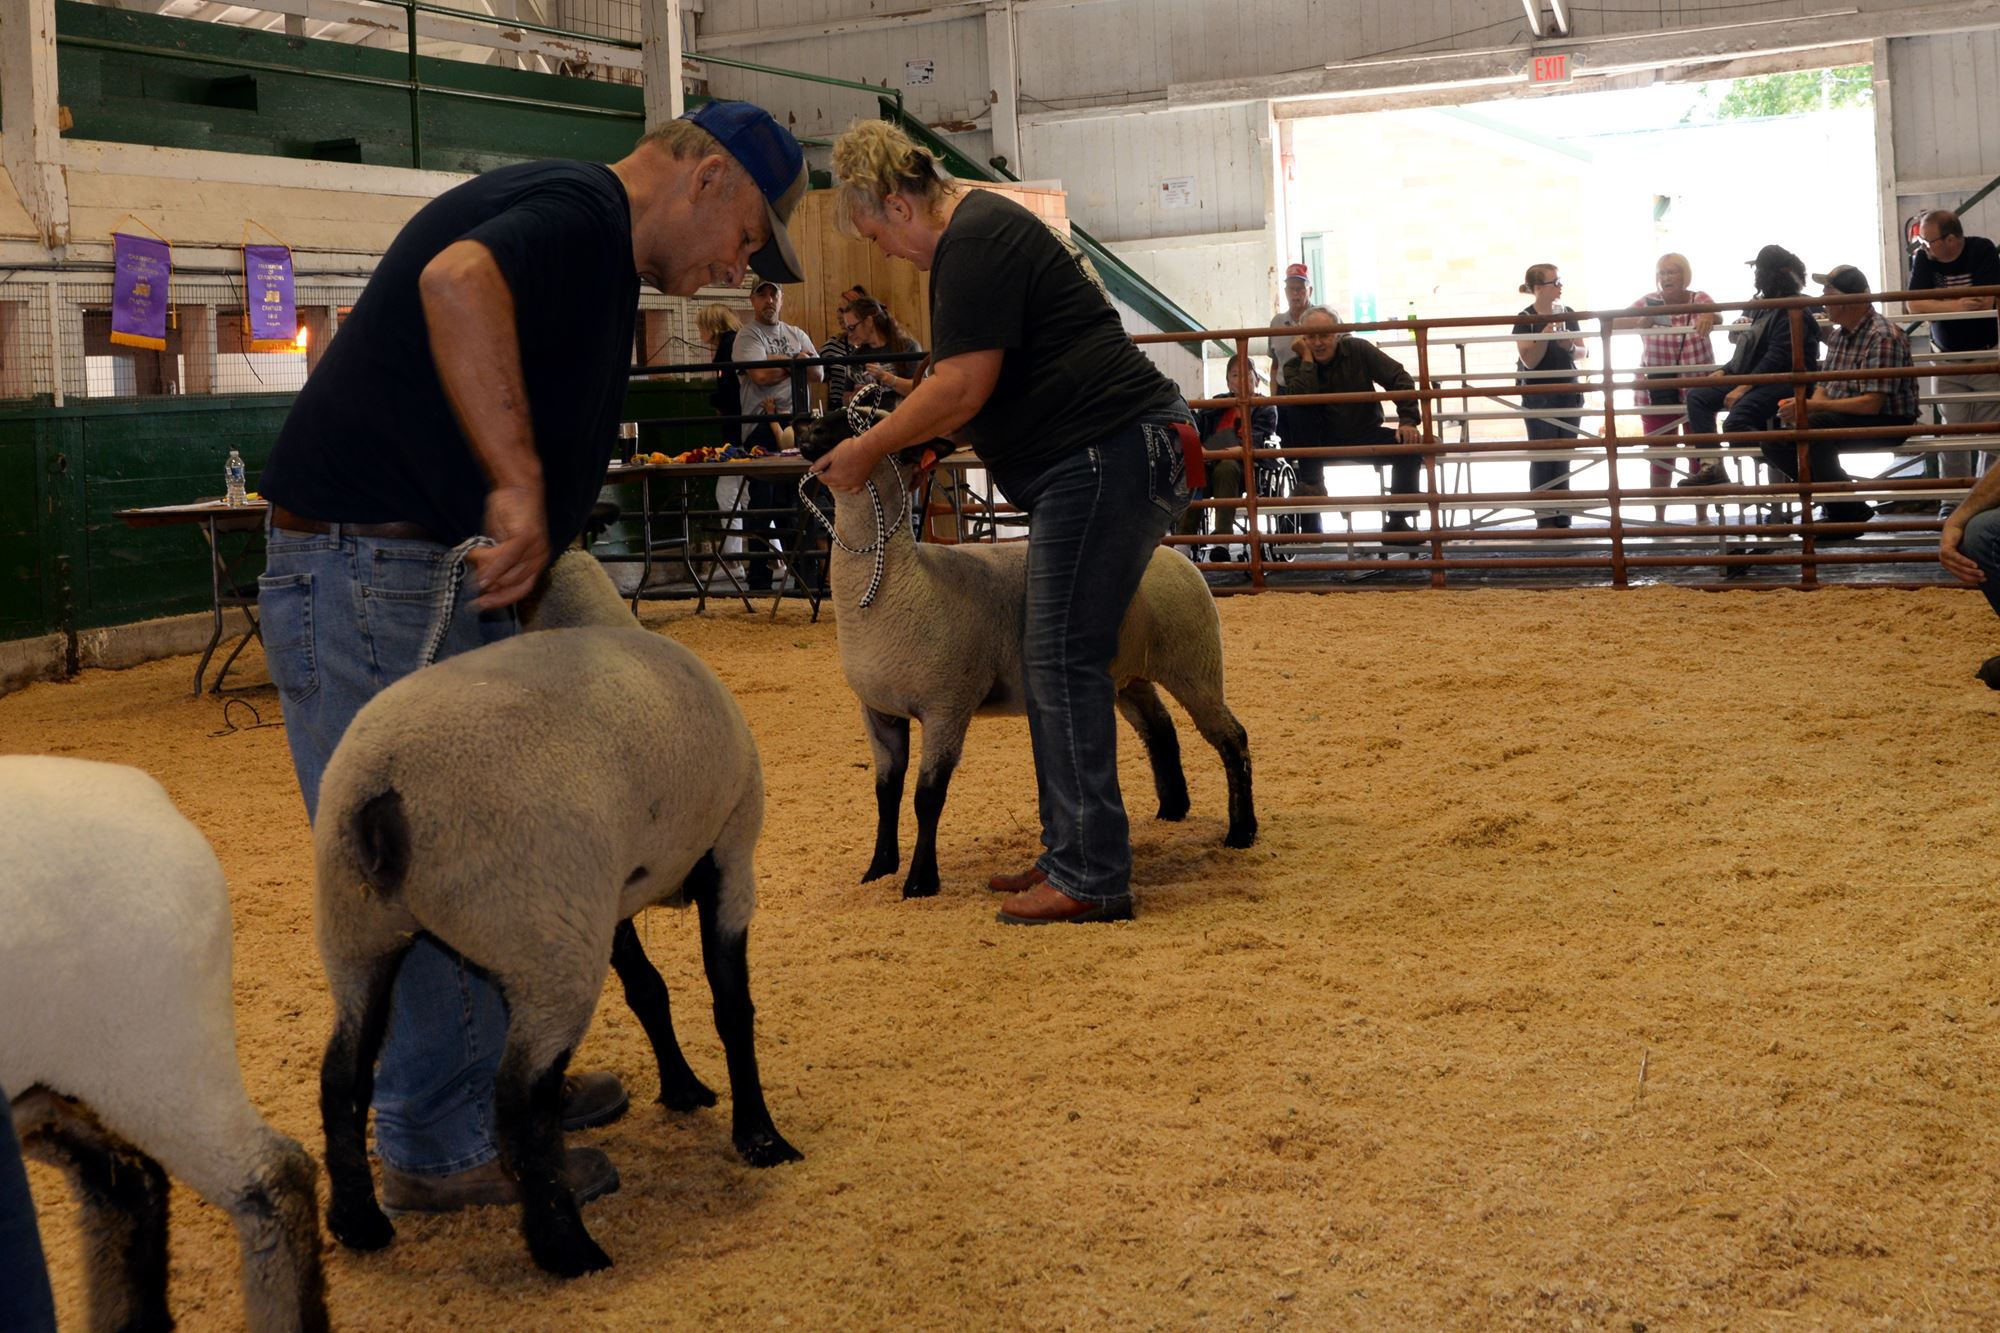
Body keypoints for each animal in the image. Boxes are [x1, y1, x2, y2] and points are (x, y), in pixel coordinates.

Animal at [796, 416, 1248, 892]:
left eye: (856, 423)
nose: (804, 427)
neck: (899, 582)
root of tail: (1176, 558)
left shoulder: (947, 706)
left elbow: (927, 797)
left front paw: (920, 882)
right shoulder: (878, 711)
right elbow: (886, 791)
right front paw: (879, 868)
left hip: (1194, 662)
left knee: (1230, 737)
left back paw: (1241, 832)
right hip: (1131, 676)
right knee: (1160, 731)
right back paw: (1172, 810)